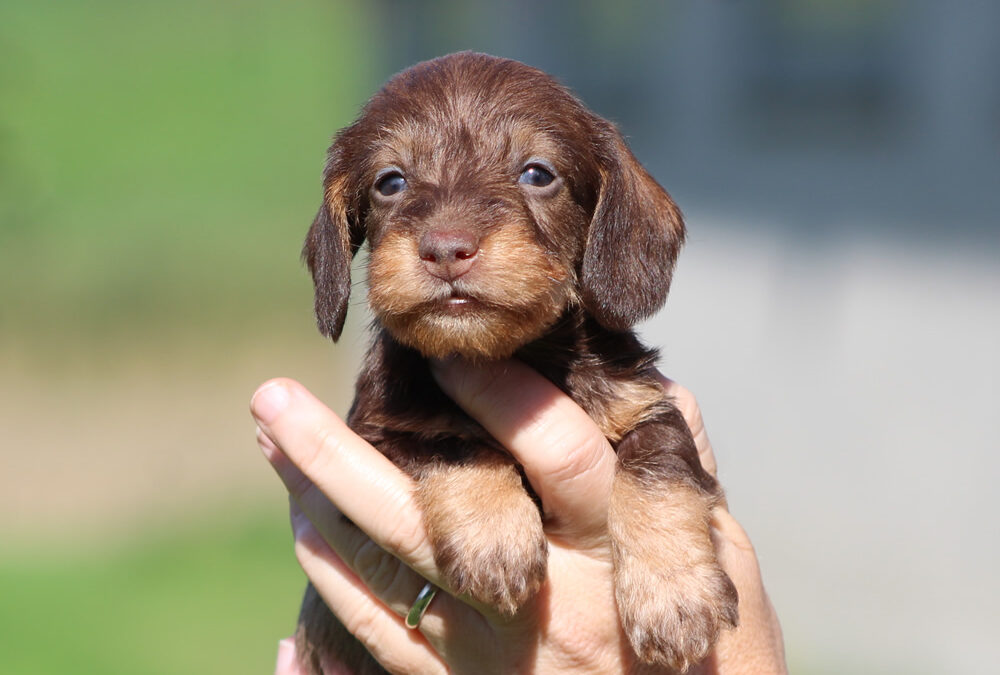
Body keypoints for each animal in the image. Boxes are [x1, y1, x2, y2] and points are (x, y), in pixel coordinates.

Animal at [294, 50, 736, 672]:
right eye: (390, 182)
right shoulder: (372, 435)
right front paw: (495, 538)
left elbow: (656, 469)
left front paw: (674, 596)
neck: (520, 354)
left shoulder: (646, 405)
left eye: (537, 173)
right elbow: (452, 442)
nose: (446, 249)